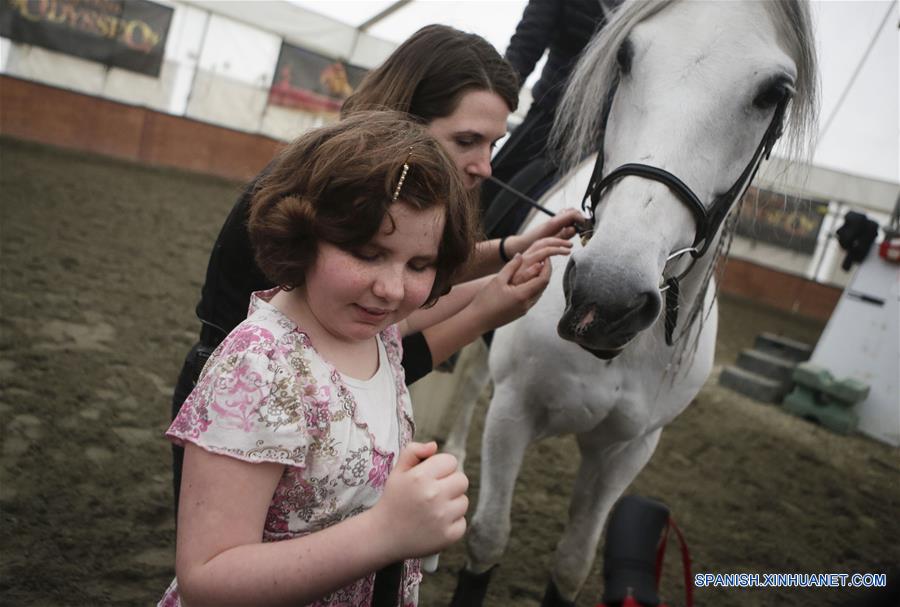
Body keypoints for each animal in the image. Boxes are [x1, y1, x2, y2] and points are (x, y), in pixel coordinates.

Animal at [446, 2, 820, 604]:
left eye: (774, 92)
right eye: (623, 56)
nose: (607, 298)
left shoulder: (628, 451)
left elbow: (573, 563)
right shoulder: (513, 411)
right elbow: (488, 538)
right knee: (469, 383)